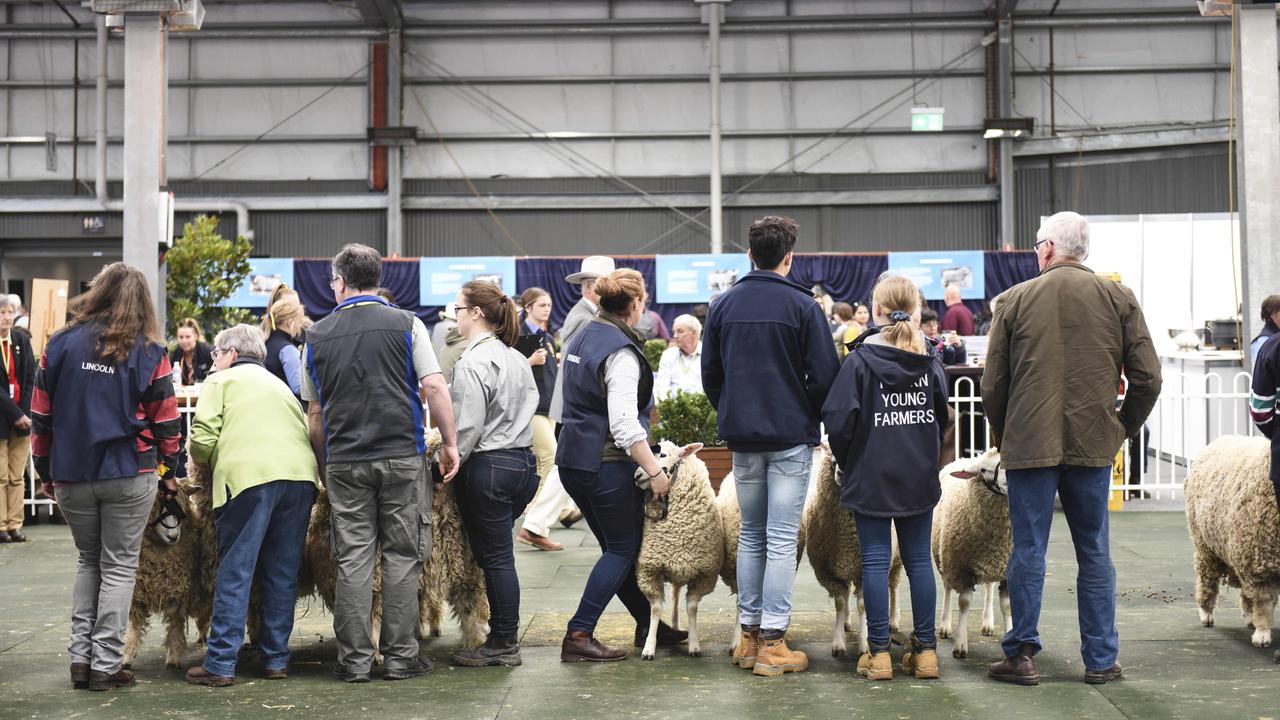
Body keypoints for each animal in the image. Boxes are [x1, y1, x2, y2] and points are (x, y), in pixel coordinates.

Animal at [637, 438, 721, 655]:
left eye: (663, 454)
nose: (636, 476)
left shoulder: (704, 574)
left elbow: (691, 607)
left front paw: (694, 645)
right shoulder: (651, 570)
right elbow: (656, 609)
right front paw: (649, 647)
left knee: (676, 595)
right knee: (675, 595)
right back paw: (674, 627)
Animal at [803, 453, 906, 655]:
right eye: (833, 461)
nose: (842, 473)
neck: (847, 539)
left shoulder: (864, 570)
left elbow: (864, 605)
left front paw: (864, 643)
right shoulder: (828, 573)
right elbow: (841, 602)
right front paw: (838, 642)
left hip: (896, 558)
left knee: (893, 586)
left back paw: (893, 621)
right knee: (849, 592)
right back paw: (847, 622)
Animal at [931, 448, 1008, 655]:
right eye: (983, 470)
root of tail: (964, 458)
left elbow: (1007, 605)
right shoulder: (960, 568)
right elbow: (964, 603)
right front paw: (960, 645)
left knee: (989, 587)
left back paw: (988, 622)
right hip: (945, 558)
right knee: (947, 587)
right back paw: (945, 625)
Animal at [1177, 435, 1280, 648]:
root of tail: (1219, 439)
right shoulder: (1262, 566)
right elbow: (1264, 602)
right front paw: (1262, 634)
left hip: (1239, 548)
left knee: (1246, 592)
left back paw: (1249, 616)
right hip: (1207, 546)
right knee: (1207, 580)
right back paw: (1206, 613)